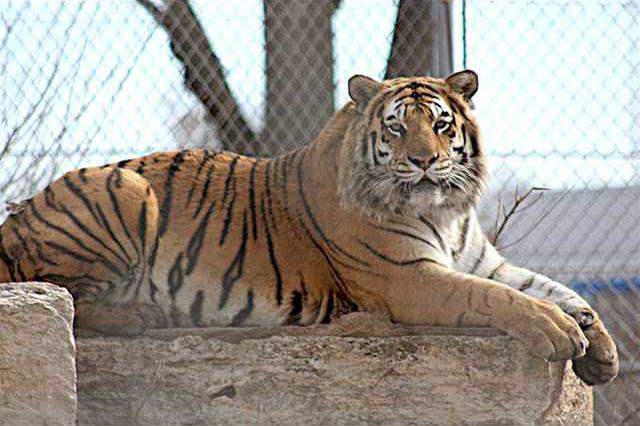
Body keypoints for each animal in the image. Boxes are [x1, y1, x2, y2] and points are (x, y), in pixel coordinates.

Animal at [0, 70, 617, 385]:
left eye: (442, 125)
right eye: (397, 128)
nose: (423, 161)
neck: (445, 210)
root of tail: (17, 215)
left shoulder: (485, 263)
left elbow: (556, 289)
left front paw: (602, 350)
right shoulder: (410, 279)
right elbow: (499, 299)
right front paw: (560, 331)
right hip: (126, 188)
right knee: (62, 297)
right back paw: (142, 313)